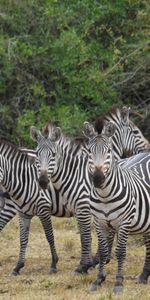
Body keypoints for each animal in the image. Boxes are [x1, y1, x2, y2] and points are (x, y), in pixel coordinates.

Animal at [83, 120, 150, 292]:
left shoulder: (123, 223)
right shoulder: (99, 222)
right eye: (89, 151)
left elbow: (120, 252)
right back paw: (144, 276)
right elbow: (103, 251)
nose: (98, 178)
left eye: (108, 151)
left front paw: (119, 282)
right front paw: (98, 279)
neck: (105, 195)